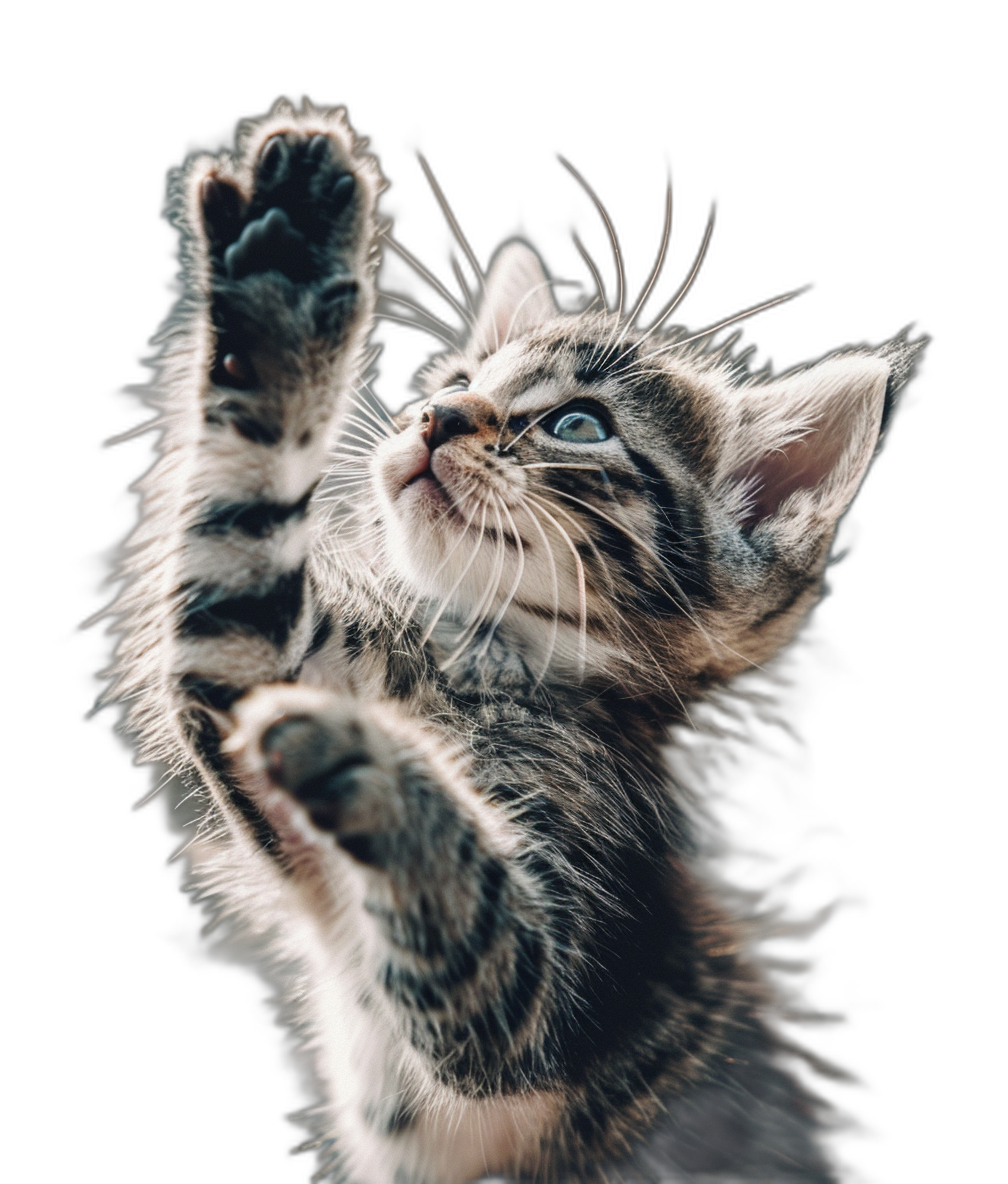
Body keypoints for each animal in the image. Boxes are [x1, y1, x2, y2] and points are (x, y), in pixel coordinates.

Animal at [106, 104, 928, 1184]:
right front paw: (270, 275)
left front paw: (360, 755)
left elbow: (467, 885)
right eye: (455, 379)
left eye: (578, 424)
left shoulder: (541, 989)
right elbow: (235, 528)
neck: (479, 657)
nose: (435, 415)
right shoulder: (245, 661)